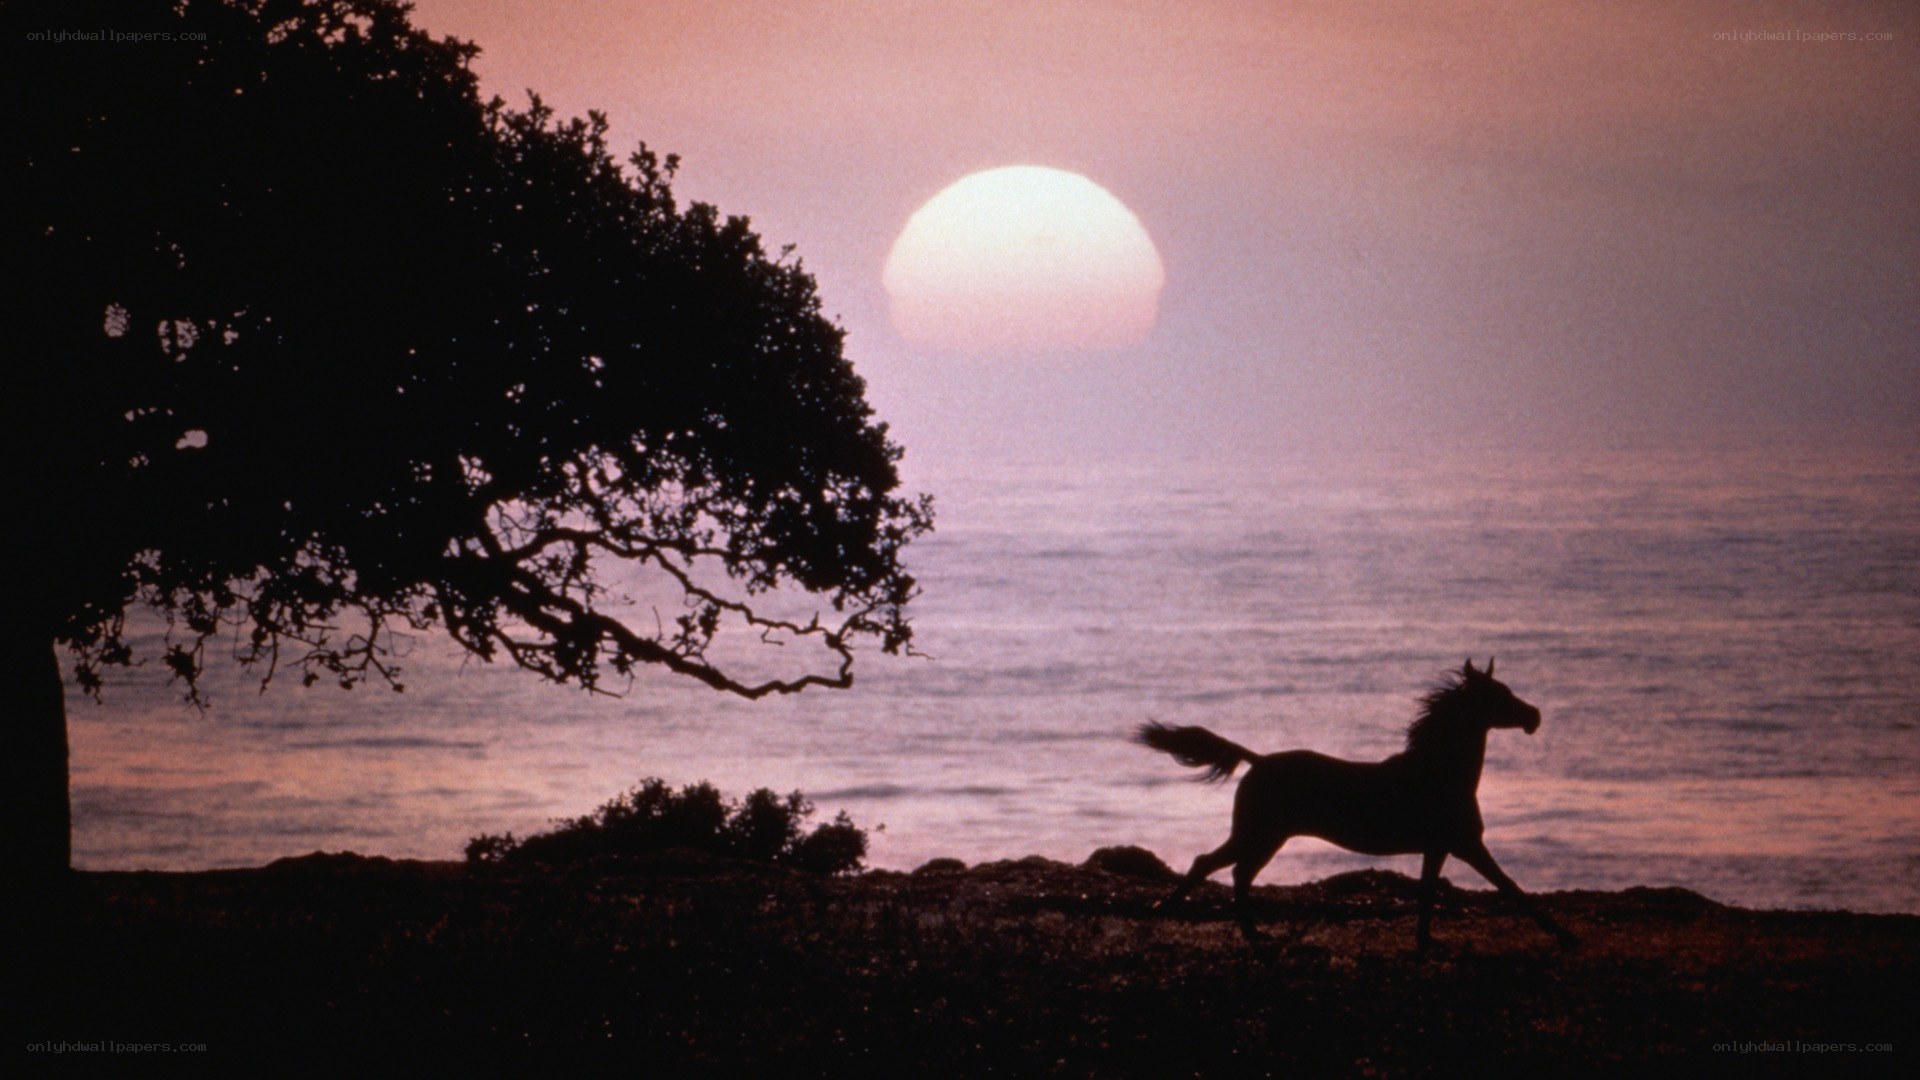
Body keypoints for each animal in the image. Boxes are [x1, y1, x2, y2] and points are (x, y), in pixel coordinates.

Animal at [1135, 658, 1577, 949]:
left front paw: (1426, 941)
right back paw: (1179, 915)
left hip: (1263, 836)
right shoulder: (1467, 845)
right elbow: (1510, 887)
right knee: (1220, 867)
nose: (1534, 716)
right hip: (1260, 834)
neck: (1438, 772)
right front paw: (1564, 935)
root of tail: (1257, 760)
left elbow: (1428, 893)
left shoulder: (1438, 848)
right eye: (1498, 695)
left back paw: (1242, 931)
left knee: (1229, 870)